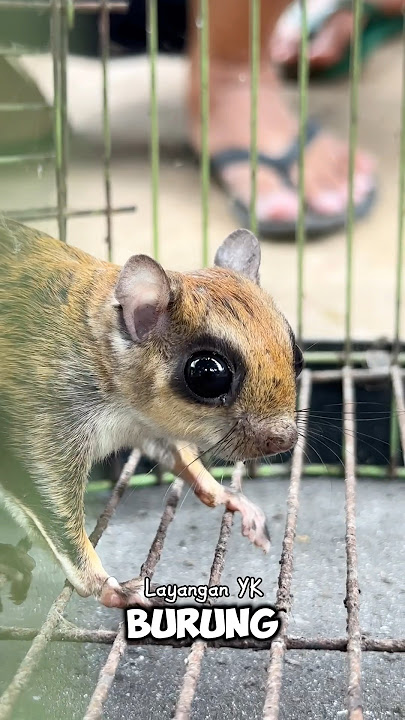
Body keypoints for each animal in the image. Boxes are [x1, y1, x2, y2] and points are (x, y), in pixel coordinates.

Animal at [0, 218, 302, 609]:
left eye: (297, 354)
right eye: (207, 373)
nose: (284, 439)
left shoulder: (150, 424)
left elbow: (180, 457)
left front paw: (228, 497)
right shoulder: (42, 426)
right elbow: (54, 513)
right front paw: (110, 587)